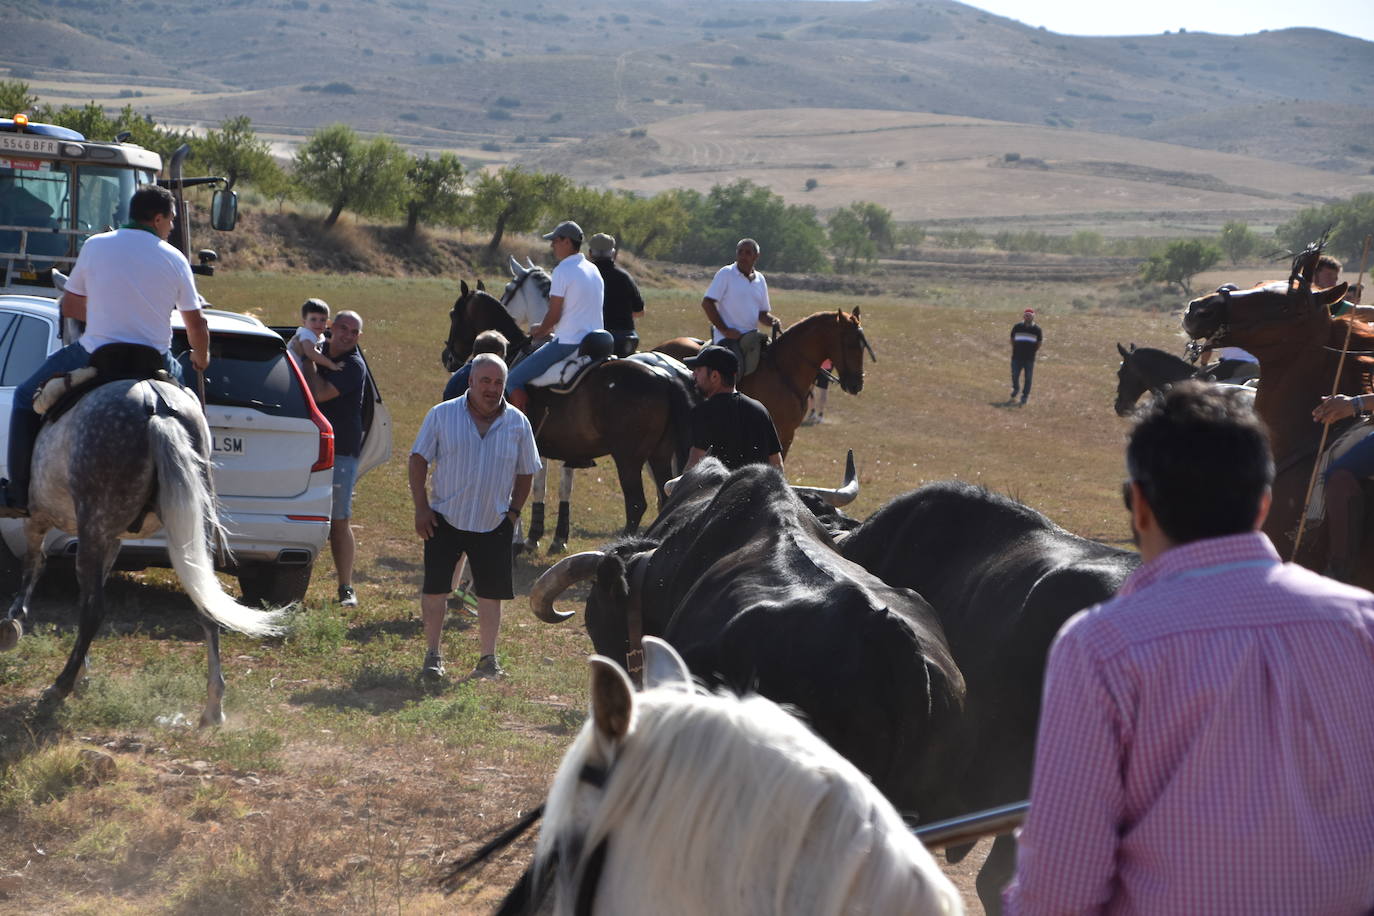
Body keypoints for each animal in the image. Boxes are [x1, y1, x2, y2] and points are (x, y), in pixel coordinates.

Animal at [651, 310, 868, 455]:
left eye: (863, 345)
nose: (856, 385)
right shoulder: (776, 431)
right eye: (850, 344)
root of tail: (659, 348)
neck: (784, 371)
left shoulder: (786, 435)